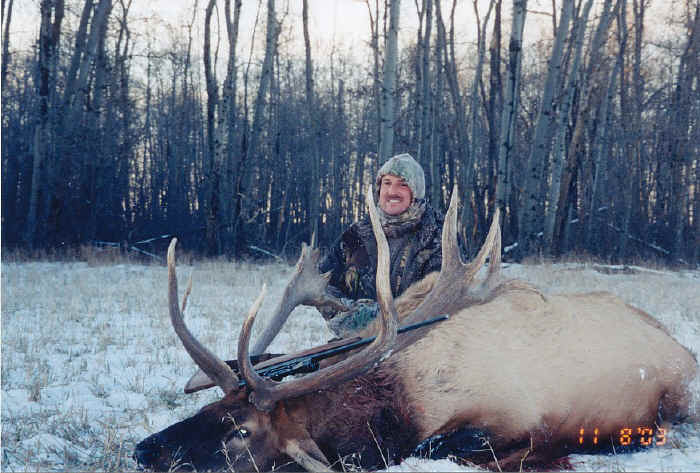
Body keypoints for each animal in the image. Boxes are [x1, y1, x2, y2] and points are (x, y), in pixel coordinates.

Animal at [134, 187, 697, 472]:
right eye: (209, 407)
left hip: (675, 398)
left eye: (242, 432)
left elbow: (438, 447)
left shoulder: (511, 416)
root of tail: (683, 349)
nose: (145, 451)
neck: (397, 402)